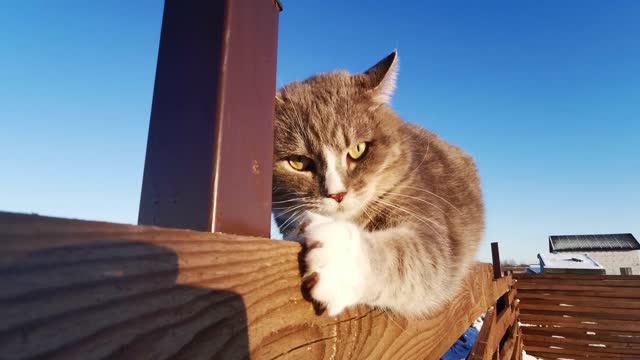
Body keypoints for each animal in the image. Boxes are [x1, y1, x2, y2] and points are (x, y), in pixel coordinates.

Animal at [272, 51, 484, 318]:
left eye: (358, 149)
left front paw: (339, 260)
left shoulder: (425, 214)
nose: (337, 194)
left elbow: (416, 258)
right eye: (298, 162)